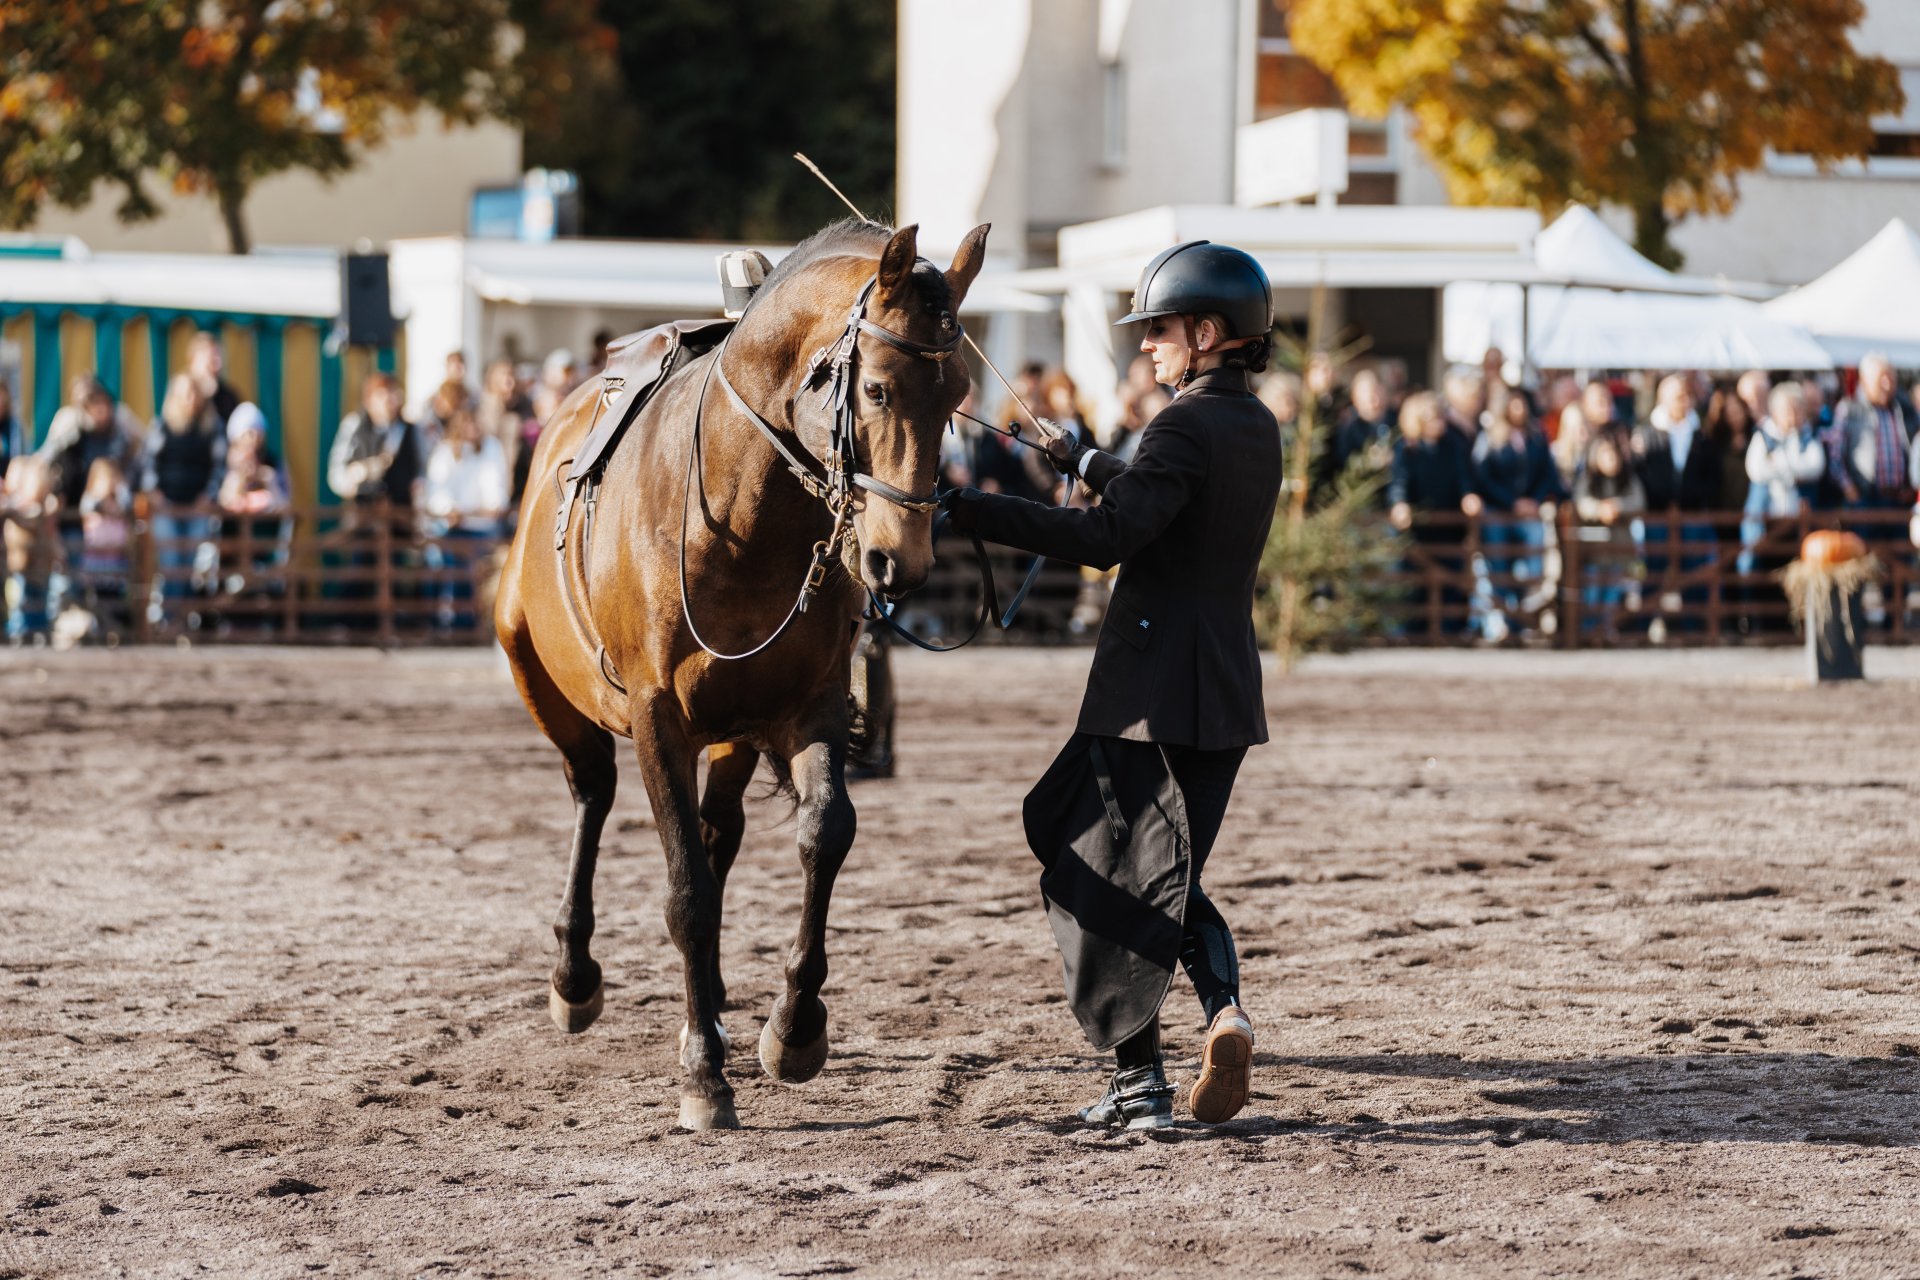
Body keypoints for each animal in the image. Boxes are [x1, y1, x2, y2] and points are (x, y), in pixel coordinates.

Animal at [495, 218, 989, 1129]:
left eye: (958, 396)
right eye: (876, 391)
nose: (898, 562)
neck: (739, 512)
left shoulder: (808, 709)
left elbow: (823, 834)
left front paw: (792, 1028)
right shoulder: (657, 721)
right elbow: (686, 888)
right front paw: (703, 1075)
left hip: (730, 734)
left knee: (719, 832)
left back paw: (717, 1003)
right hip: (540, 677)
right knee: (592, 794)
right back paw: (576, 975)